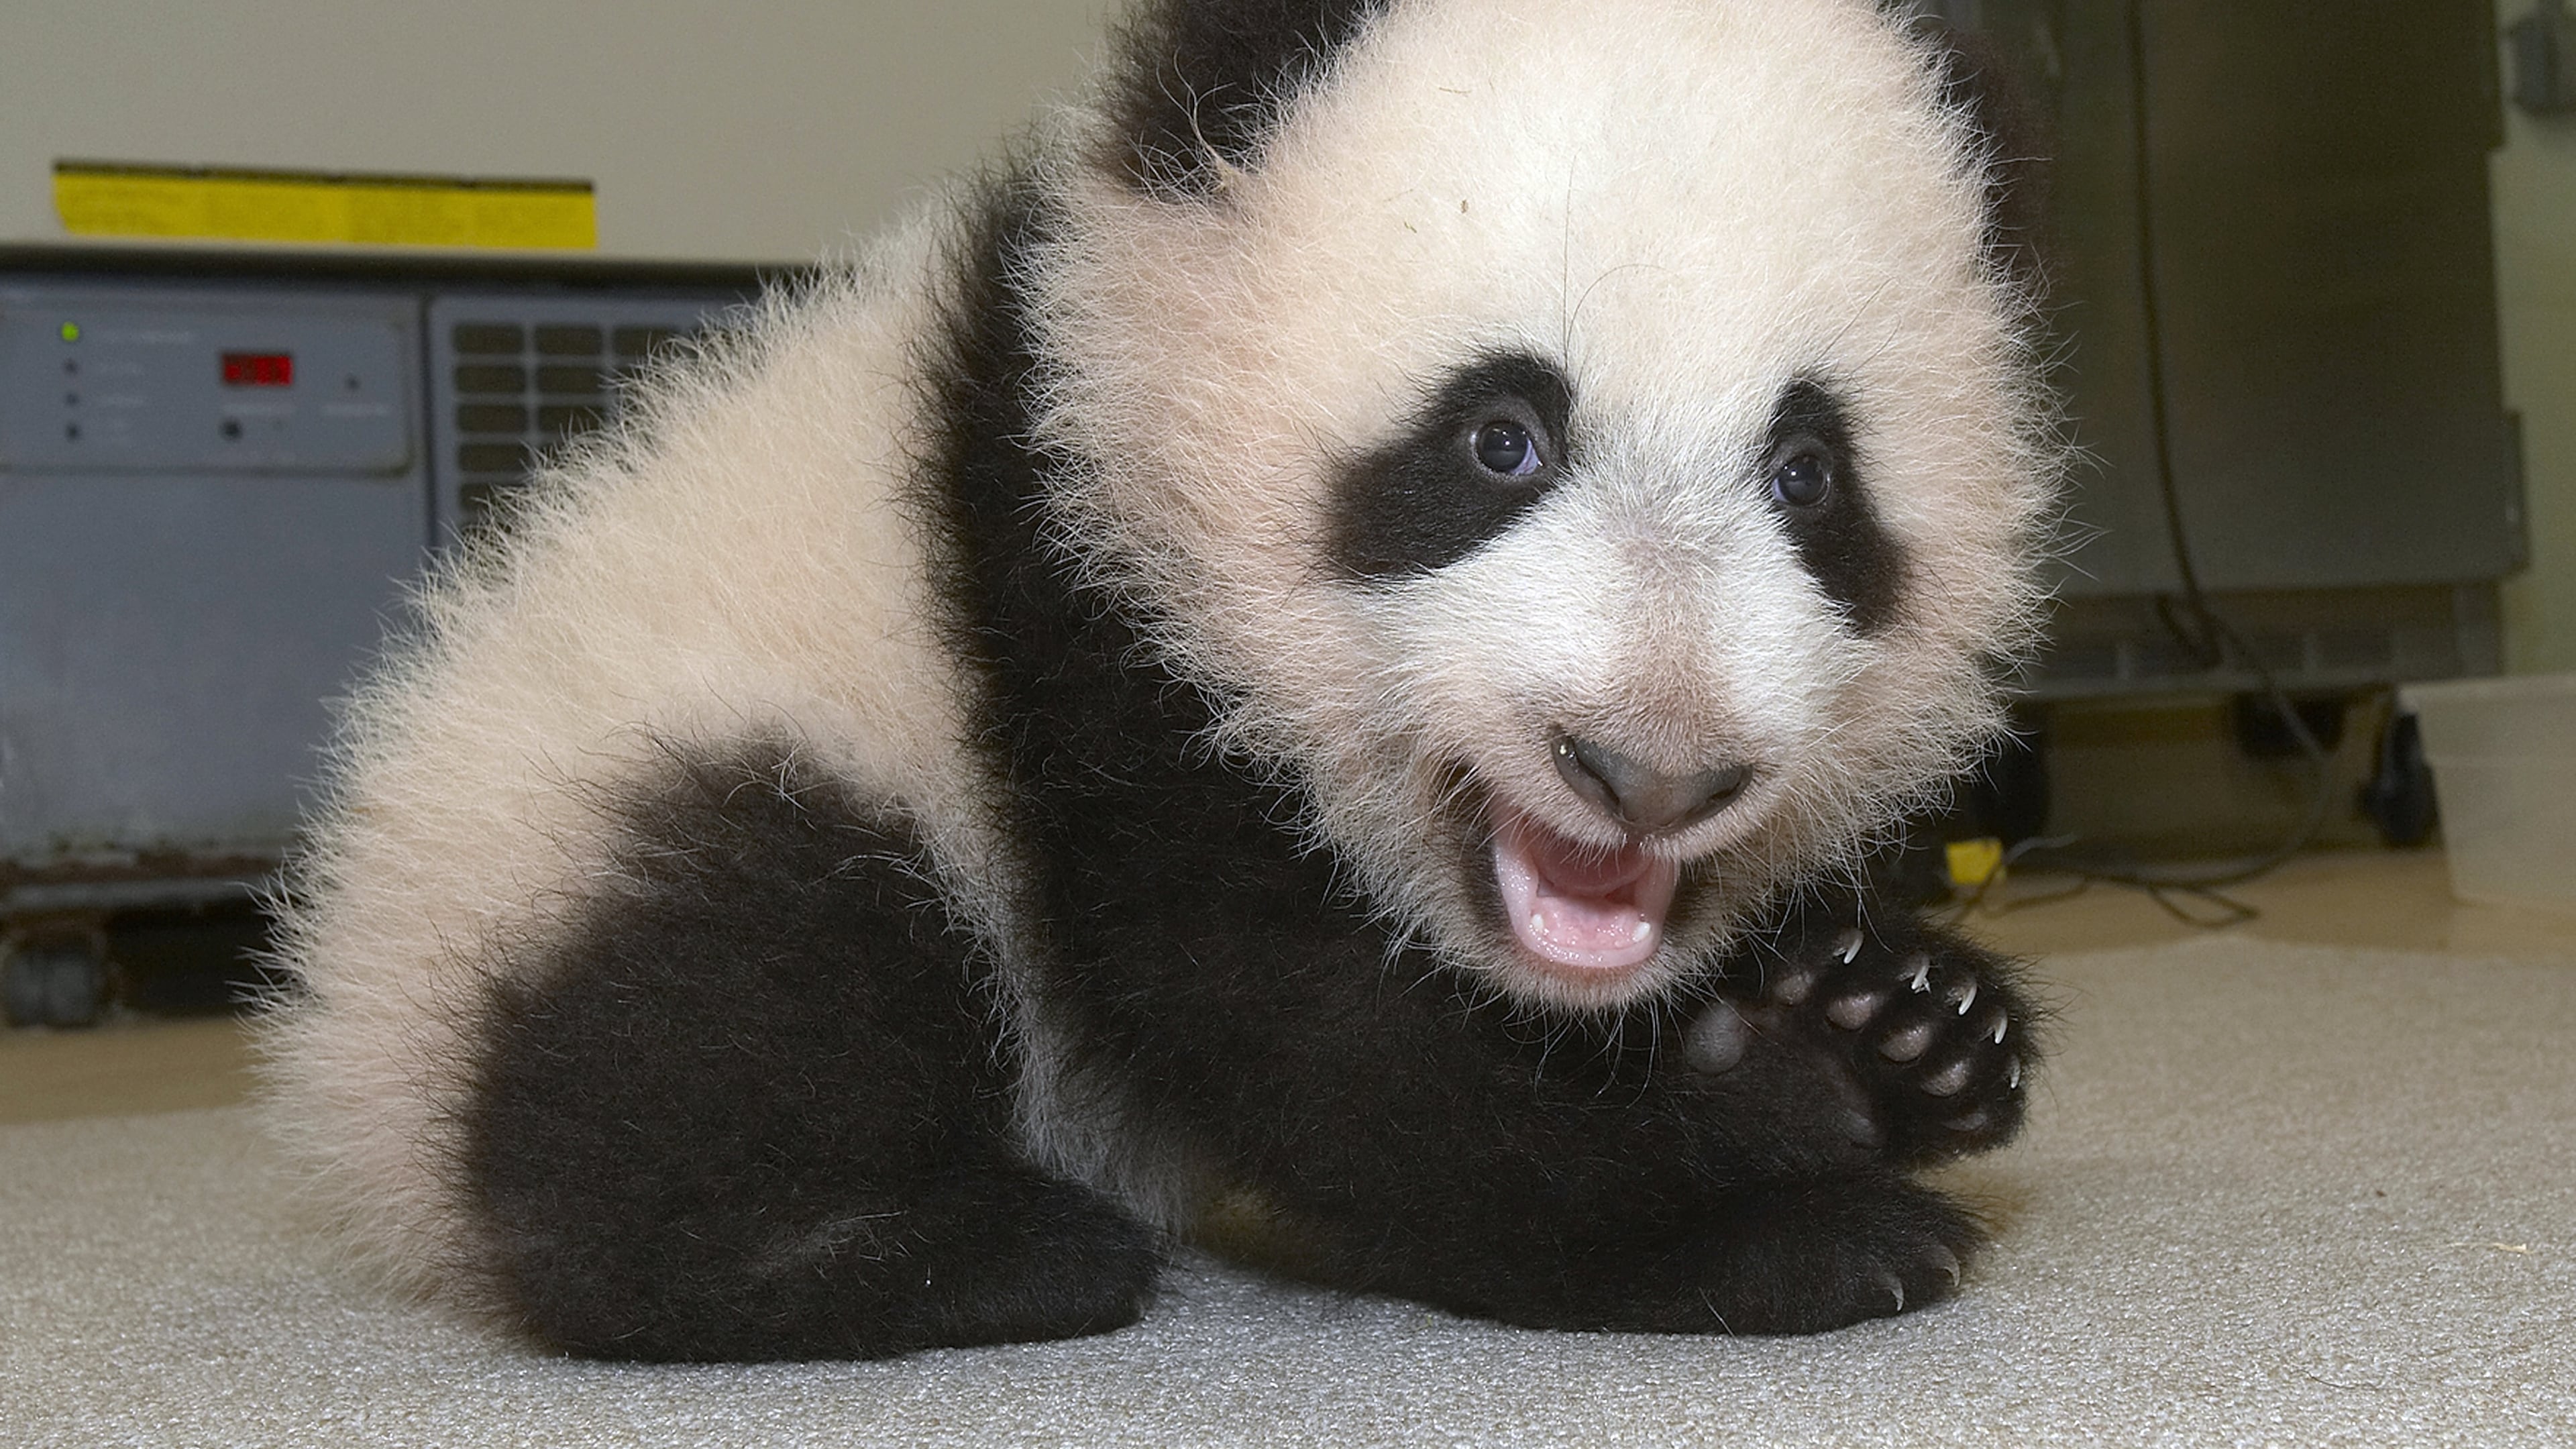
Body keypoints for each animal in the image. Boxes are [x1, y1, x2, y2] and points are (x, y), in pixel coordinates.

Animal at [258, 0, 2058, 1362]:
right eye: (1500, 438)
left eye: (1810, 477)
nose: (1650, 767)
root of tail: (349, 1058)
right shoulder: (1081, 622)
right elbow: (1314, 1040)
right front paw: (1780, 1208)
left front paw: (1893, 1022)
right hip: (616, 789)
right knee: (726, 986)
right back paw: (946, 1252)